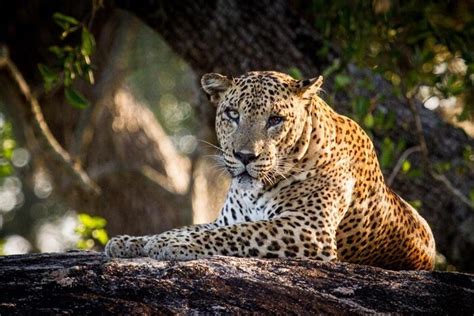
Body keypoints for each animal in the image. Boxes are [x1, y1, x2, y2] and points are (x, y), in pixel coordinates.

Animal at [104, 70, 436, 270]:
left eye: (275, 119)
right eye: (232, 114)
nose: (244, 156)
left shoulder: (309, 229)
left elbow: (239, 233)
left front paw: (172, 244)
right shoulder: (226, 219)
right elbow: (192, 227)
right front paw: (134, 241)